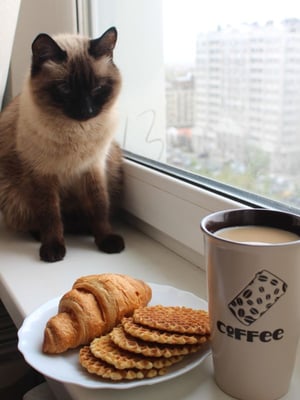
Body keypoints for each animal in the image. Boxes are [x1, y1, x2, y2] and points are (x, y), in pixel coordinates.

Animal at [0, 26, 125, 260]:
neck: (76, 132)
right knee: (39, 220)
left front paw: (106, 240)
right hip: (13, 196)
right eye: (65, 89)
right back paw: (42, 236)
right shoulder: (43, 174)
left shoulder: (93, 168)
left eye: (97, 88)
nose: (86, 111)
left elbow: (100, 206)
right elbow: (50, 215)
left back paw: (86, 229)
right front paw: (53, 249)